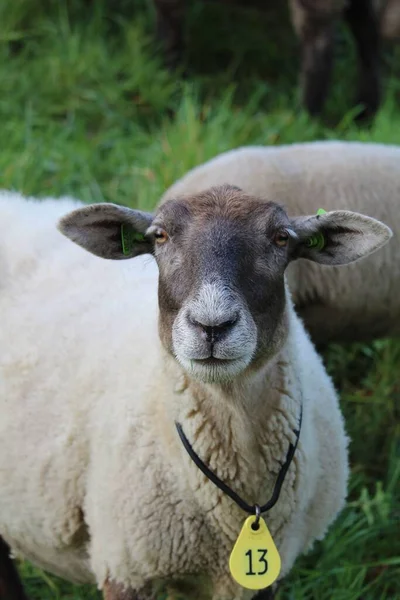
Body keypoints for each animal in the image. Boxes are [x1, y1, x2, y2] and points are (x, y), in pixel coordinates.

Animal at [153, 0, 400, 119]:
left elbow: (170, 30)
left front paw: (172, 82)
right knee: (367, 35)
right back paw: (366, 111)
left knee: (320, 48)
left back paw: (304, 117)